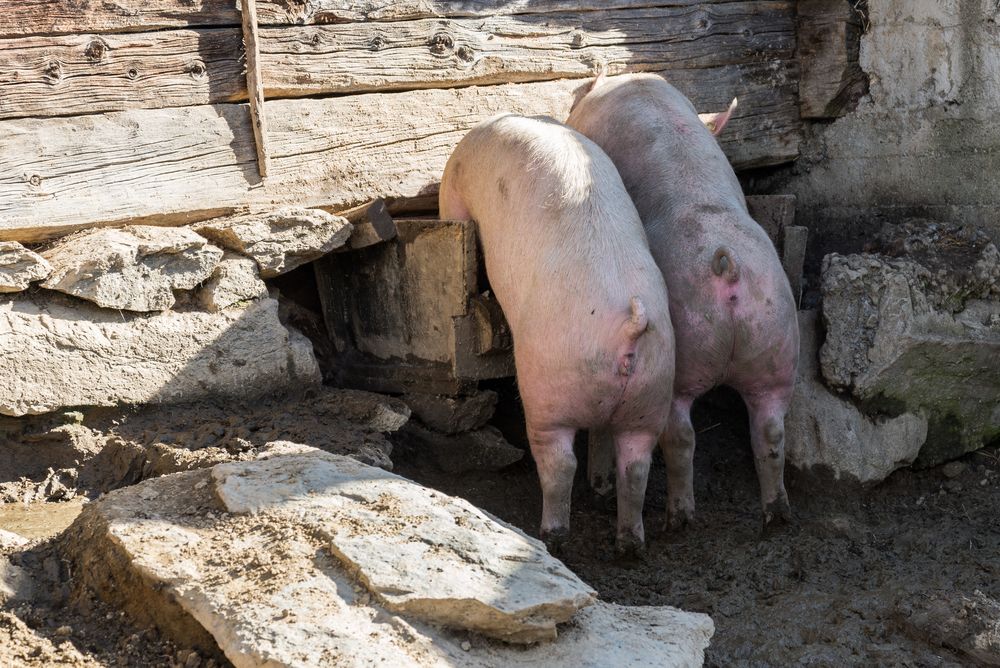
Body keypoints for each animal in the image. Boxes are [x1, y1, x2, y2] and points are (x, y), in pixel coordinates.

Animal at [442, 115, 676, 552]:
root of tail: (629, 328)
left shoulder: (454, 187)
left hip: (547, 391)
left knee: (560, 462)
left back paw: (551, 534)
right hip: (652, 393)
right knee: (636, 465)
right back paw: (629, 545)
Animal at [568, 75, 800, 528]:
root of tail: (726, 267)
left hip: (682, 356)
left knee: (681, 435)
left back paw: (679, 518)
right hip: (776, 340)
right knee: (771, 429)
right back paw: (776, 513)